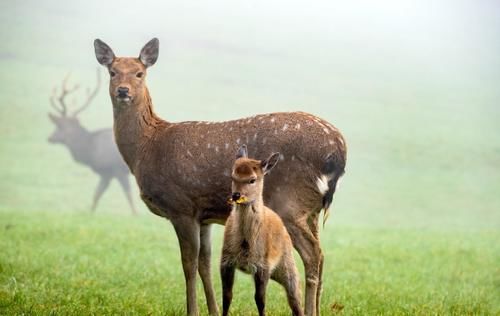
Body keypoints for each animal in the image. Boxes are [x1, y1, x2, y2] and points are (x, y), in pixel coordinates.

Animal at [47, 69, 137, 215]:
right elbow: (97, 194)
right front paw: (90, 213)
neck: (91, 151)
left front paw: (136, 214)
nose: (50, 137)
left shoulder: (115, 170)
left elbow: (127, 195)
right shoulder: (106, 174)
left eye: (60, 126)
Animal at [223, 146, 304, 316]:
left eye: (252, 179)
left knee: (295, 294)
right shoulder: (226, 260)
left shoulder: (263, 264)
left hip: (287, 261)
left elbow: (260, 299)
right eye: (233, 176)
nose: (236, 195)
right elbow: (227, 297)